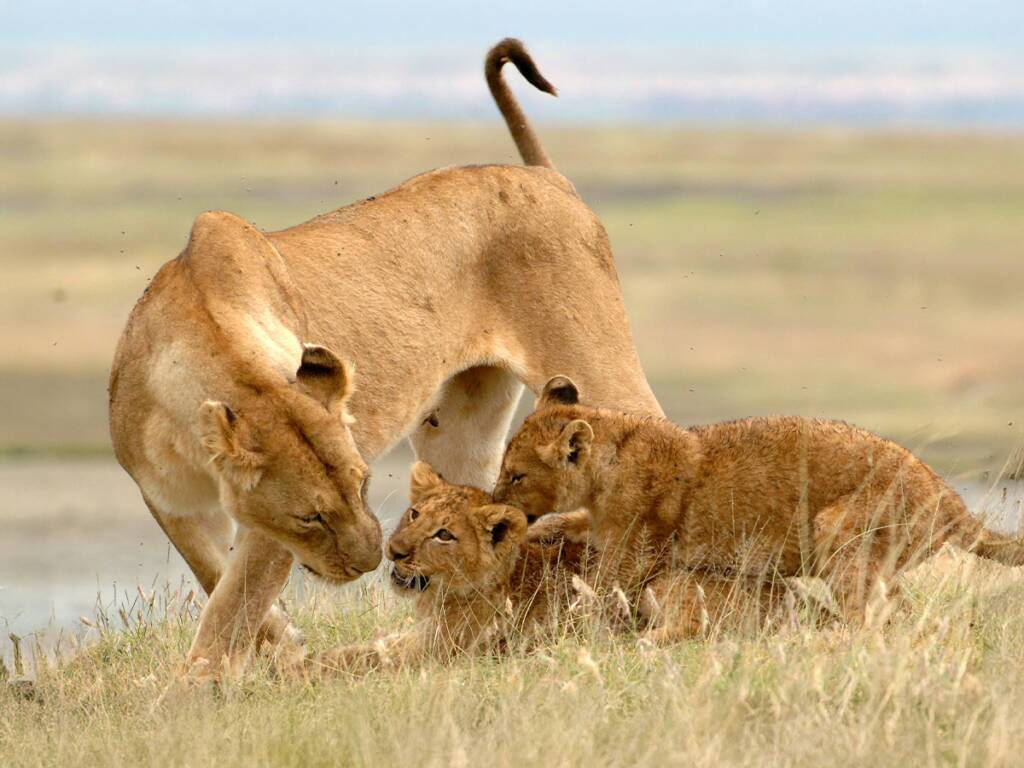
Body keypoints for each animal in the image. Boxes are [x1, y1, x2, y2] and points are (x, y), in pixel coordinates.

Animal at [108, 39, 662, 677]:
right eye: (312, 516)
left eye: (364, 483)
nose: (375, 560)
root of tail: (547, 177)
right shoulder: (172, 503)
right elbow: (221, 585)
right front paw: (284, 651)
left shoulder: (263, 533)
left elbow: (233, 605)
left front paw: (200, 681)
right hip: (458, 430)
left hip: (596, 366)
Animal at [493, 376, 1024, 639]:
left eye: (516, 475)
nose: (498, 501)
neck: (612, 457)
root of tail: (952, 499)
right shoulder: (602, 526)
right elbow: (569, 524)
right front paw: (530, 532)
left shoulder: (632, 553)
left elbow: (602, 591)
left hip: (839, 530)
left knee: (875, 615)